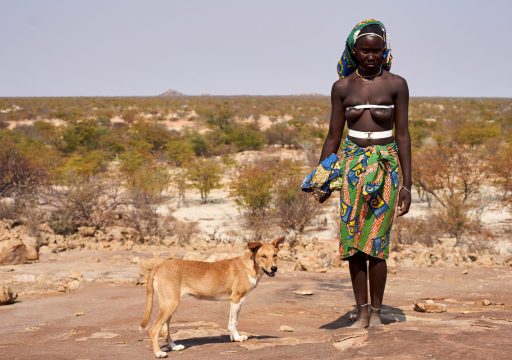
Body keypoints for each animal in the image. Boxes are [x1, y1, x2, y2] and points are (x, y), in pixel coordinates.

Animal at [139, 236, 284, 358]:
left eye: (275, 255)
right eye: (263, 256)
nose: (274, 268)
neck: (250, 265)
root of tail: (159, 266)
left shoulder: (235, 301)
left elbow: (233, 321)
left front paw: (233, 338)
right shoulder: (237, 298)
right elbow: (233, 322)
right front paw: (237, 337)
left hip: (169, 306)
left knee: (164, 330)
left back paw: (174, 347)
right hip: (170, 304)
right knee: (154, 330)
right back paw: (159, 353)